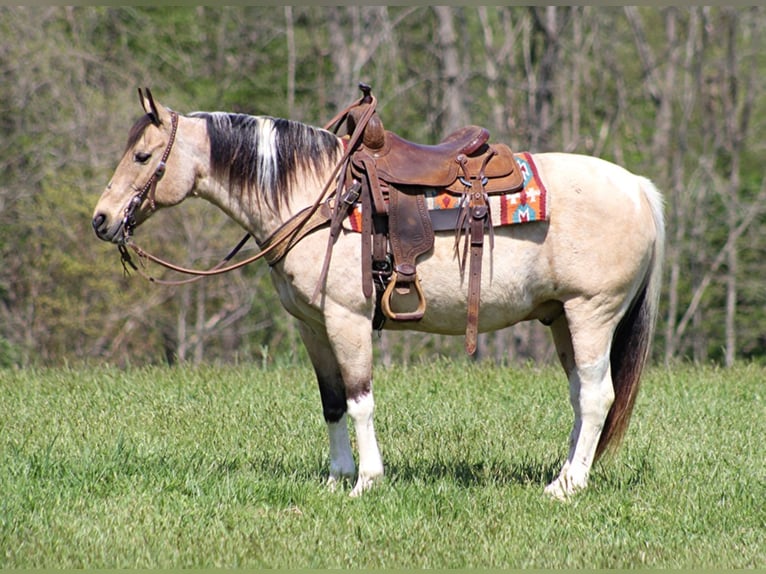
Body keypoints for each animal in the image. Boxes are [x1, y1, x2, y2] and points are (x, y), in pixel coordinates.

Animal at [91, 89, 664, 500]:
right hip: (563, 318)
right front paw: (335, 478)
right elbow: (331, 402)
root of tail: (638, 186)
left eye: (142, 155)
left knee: (597, 396)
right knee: (581, 396)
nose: (101, 219)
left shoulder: (348, 318)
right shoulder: (313, 325)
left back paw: (567, 487)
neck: (315, 197)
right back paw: (564, 473)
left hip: (592, 313)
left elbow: (360, 398)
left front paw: (366, 481)